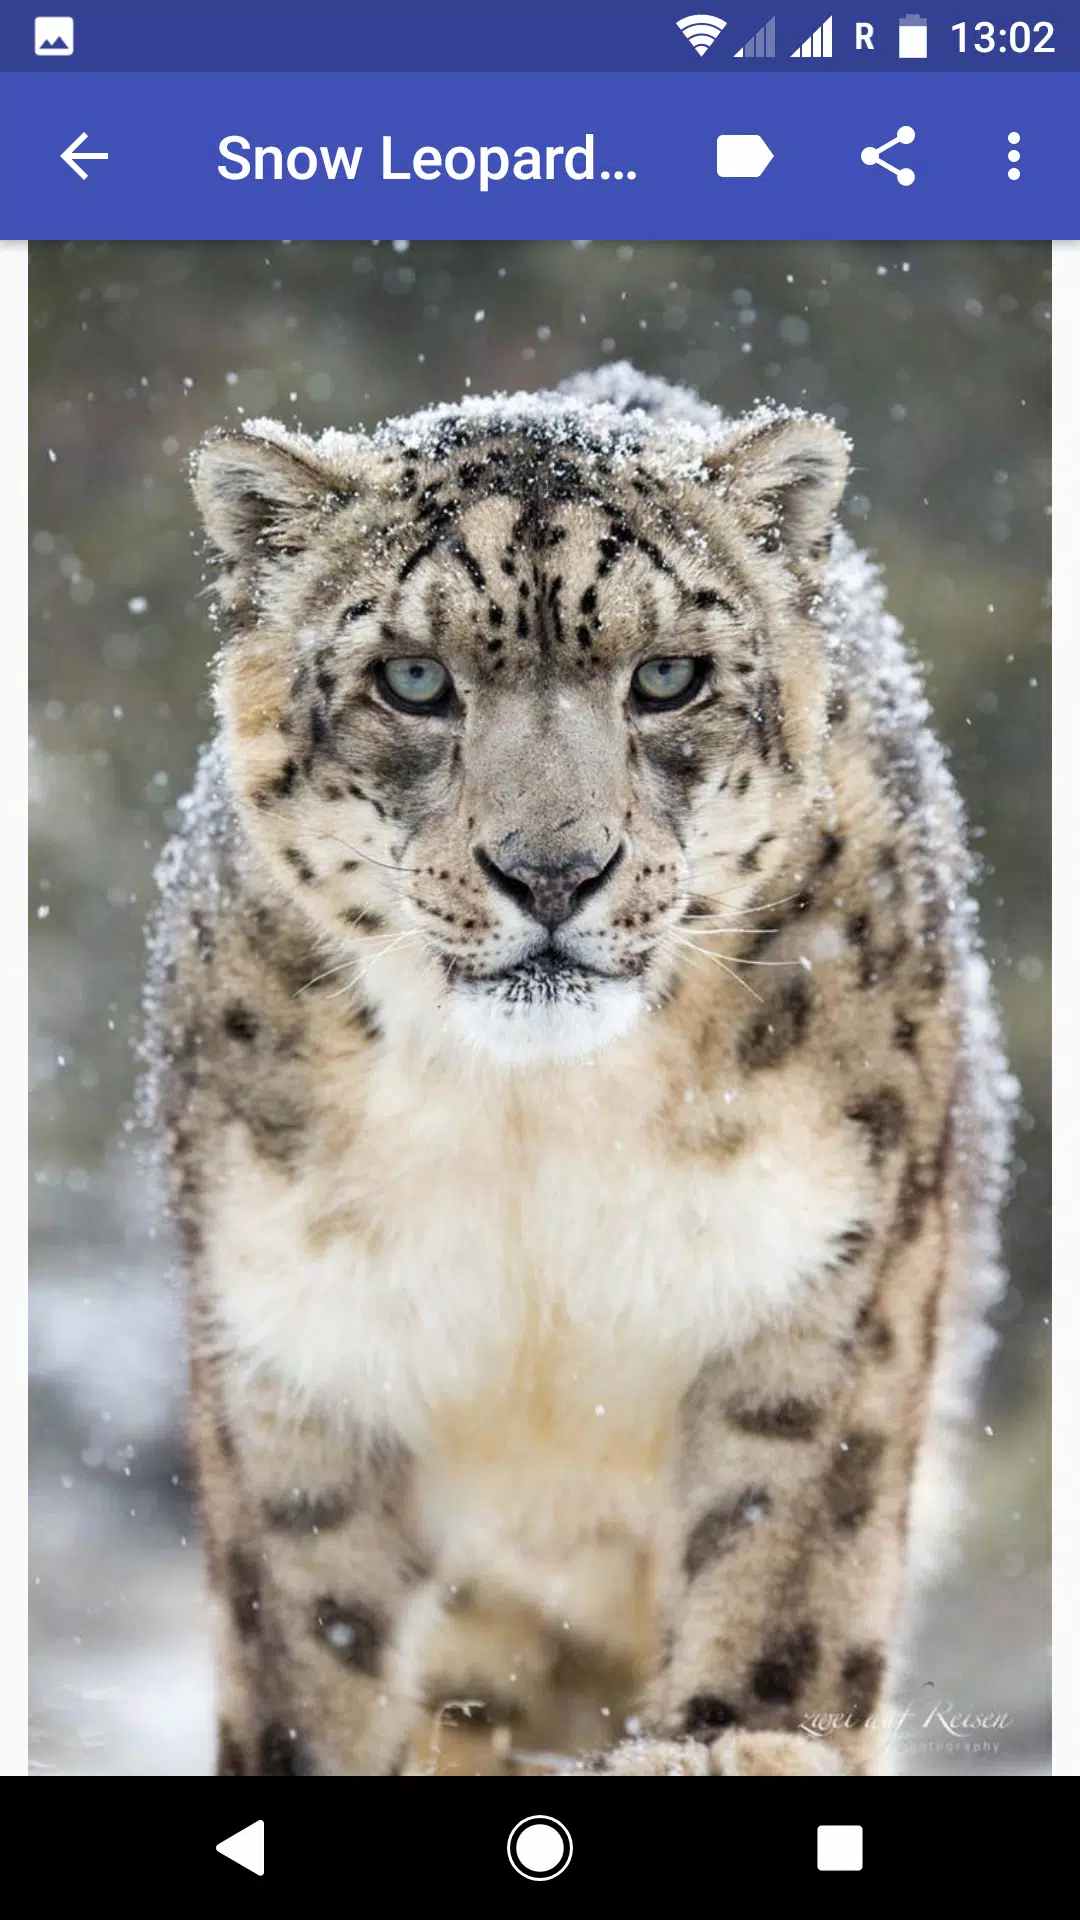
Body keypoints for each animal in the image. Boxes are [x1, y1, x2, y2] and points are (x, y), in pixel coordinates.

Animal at [143, 362, 1013, 1778]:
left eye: (665, 676)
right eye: (414, 678)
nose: (552, 871)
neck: (532, 1121)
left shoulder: (831, 1267)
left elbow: (787, 1549)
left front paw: (736, 1739)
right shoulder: (294, 1327)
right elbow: (307, 1625)